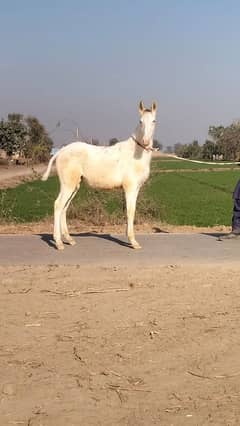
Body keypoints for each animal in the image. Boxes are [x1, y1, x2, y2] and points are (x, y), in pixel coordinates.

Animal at [41, 101, 158, 250]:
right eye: (140, 121)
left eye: (154, 121)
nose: (146, 141)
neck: (135, 153)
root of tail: (61, 151)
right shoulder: (130, 188)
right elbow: (130, 211)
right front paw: (133, 242)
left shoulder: (135, 188)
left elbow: (130, 211)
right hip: (68, 184)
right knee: (58, 205)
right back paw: (59, 243)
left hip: (74, 186)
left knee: (64, 208)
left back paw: (69, 239)